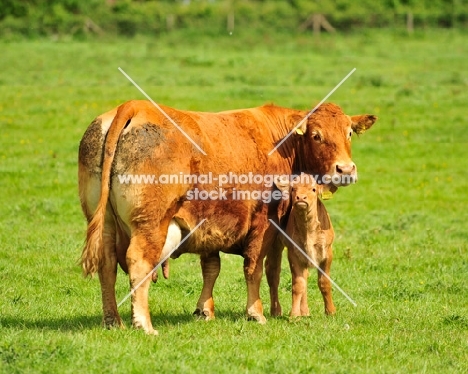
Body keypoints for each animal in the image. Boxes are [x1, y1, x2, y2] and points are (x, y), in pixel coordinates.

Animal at [77, 98, 376, 334]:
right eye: (316, 135)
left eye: (349, 132)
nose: (345, 169)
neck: (282, 142)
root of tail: (134, 106)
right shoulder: (263, 224)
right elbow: (254, 268)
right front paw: (256, 312)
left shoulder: (209, 224)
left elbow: (211, 269)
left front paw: (205, 310)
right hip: (150, 225)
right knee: (138, 263)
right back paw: (144, 325)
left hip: (105, 225)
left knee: (107, 266)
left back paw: (113, 321)